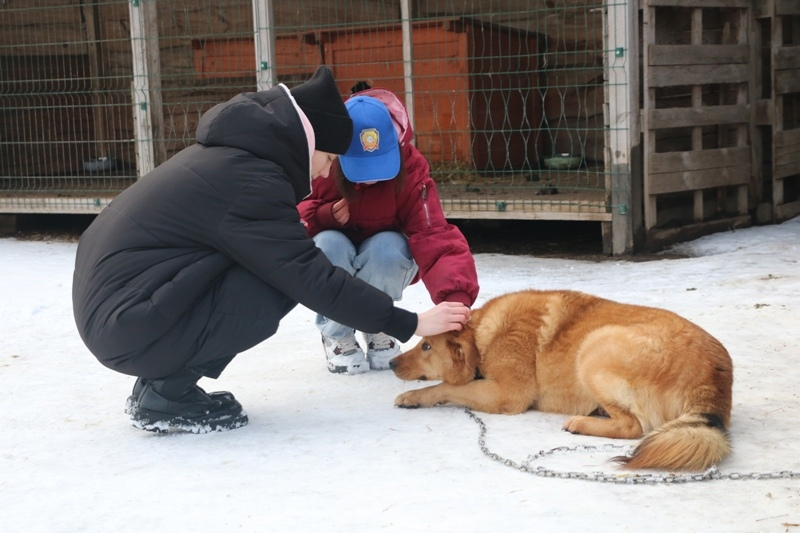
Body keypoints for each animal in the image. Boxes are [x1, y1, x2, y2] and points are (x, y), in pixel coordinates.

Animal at [390, 286, 736, 470]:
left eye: (426, 345)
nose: (392, 363)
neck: (480, 336)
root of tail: (712, 380)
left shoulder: (508, 395)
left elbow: (446, 386)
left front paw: (413, 398)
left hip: (595, 347)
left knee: (633, 427)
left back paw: (581, 423)